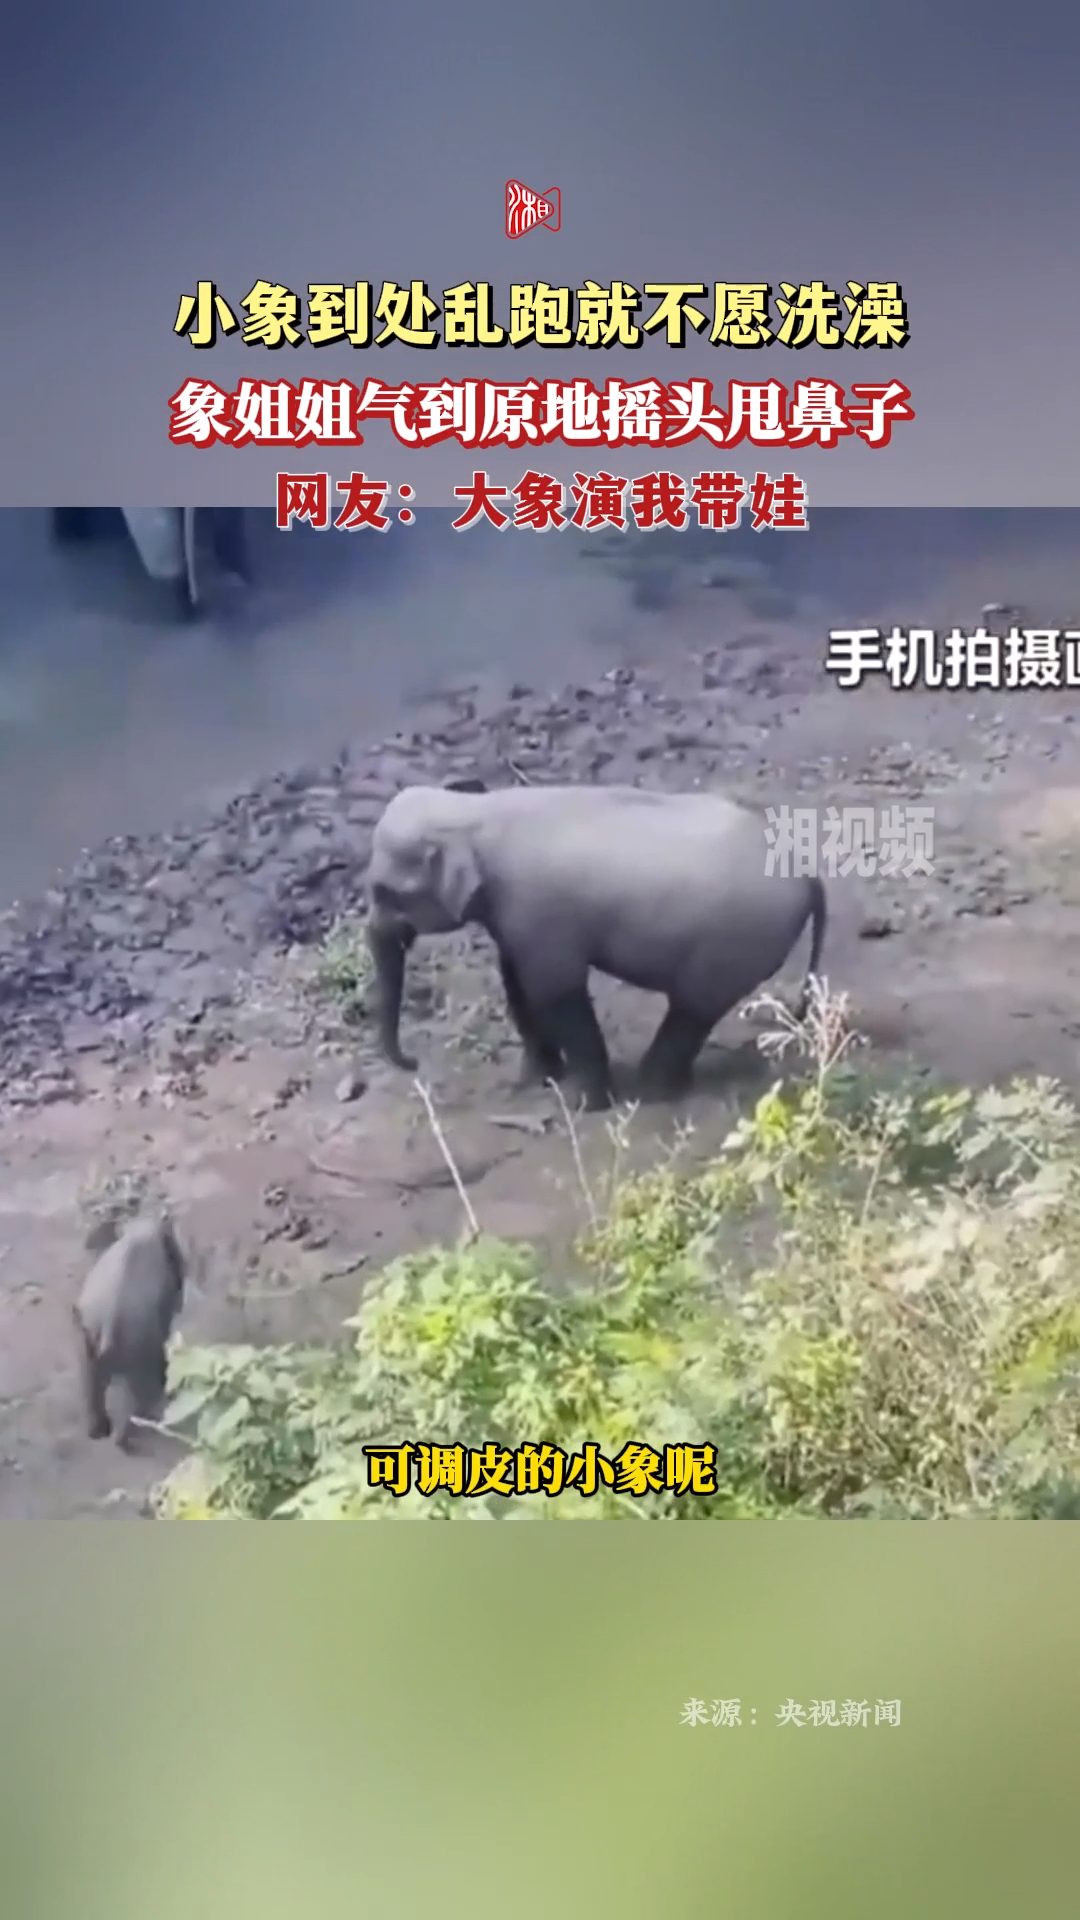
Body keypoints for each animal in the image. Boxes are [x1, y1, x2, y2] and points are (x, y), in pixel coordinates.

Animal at [72, 1215, 187, 1448]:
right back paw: (126, 1436)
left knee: (91, 1386)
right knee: (131, 1394)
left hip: (86, 1337)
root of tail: (108, 1321)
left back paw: (98, 1433)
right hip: (134, 1343)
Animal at [364, 781, 828, 1112]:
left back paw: (650, 1090)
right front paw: (536, 1081)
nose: (414, 1063)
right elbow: (516, 984)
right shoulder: (517, 920)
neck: (473, 812)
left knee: (692, 1008)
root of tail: (806, 872)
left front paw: (582, 1104)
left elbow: (556, 993)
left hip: (734, 944)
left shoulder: (541, 912)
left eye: (385, 892)